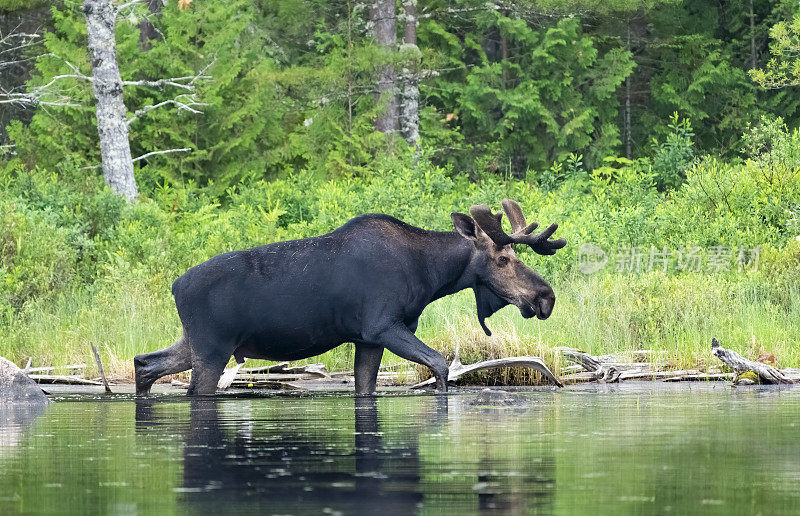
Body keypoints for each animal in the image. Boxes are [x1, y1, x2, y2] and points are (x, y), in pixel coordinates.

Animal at [134, 199, 564, 396]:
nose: (546, 296)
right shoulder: (382, 326)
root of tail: (174, 288)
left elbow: (366, 388)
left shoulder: (366, 339)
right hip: (212, 348)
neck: (430, 276)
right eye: (504, 259)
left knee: (144, 362)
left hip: (195, 342)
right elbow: (440, 366)